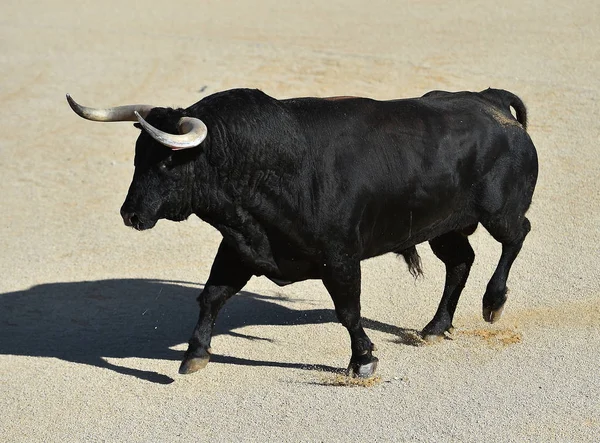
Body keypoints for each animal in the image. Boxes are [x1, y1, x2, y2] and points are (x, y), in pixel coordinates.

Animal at [68, 87, 536, 378]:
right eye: (137, 156)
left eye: (166, 162)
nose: (130, 214)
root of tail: (490, 99)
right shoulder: (240, 247)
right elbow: (212, 295)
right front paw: (195, 354)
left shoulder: (340, 258)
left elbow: (348, 310)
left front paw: (363, 360)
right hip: (443, 227)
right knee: (460, 261)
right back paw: (436, 327)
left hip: (499, 211)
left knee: (516, 235)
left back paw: (493, 303)